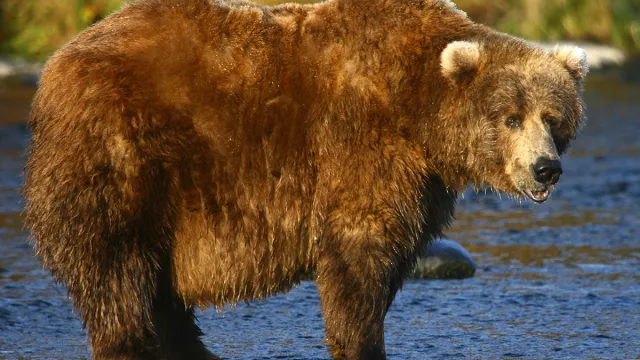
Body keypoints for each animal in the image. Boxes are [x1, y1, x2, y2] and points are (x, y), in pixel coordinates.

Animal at [23, 0, 584, 358]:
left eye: (553, 117)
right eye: (511, 117)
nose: (545, 168)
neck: (418, 111)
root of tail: (55, 64)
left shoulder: (422, 183)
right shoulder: (359, 145)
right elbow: (358, 251)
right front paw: (361, 339)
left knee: (156, 288)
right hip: (124, 156)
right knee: (116, 267)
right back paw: (131, 341)